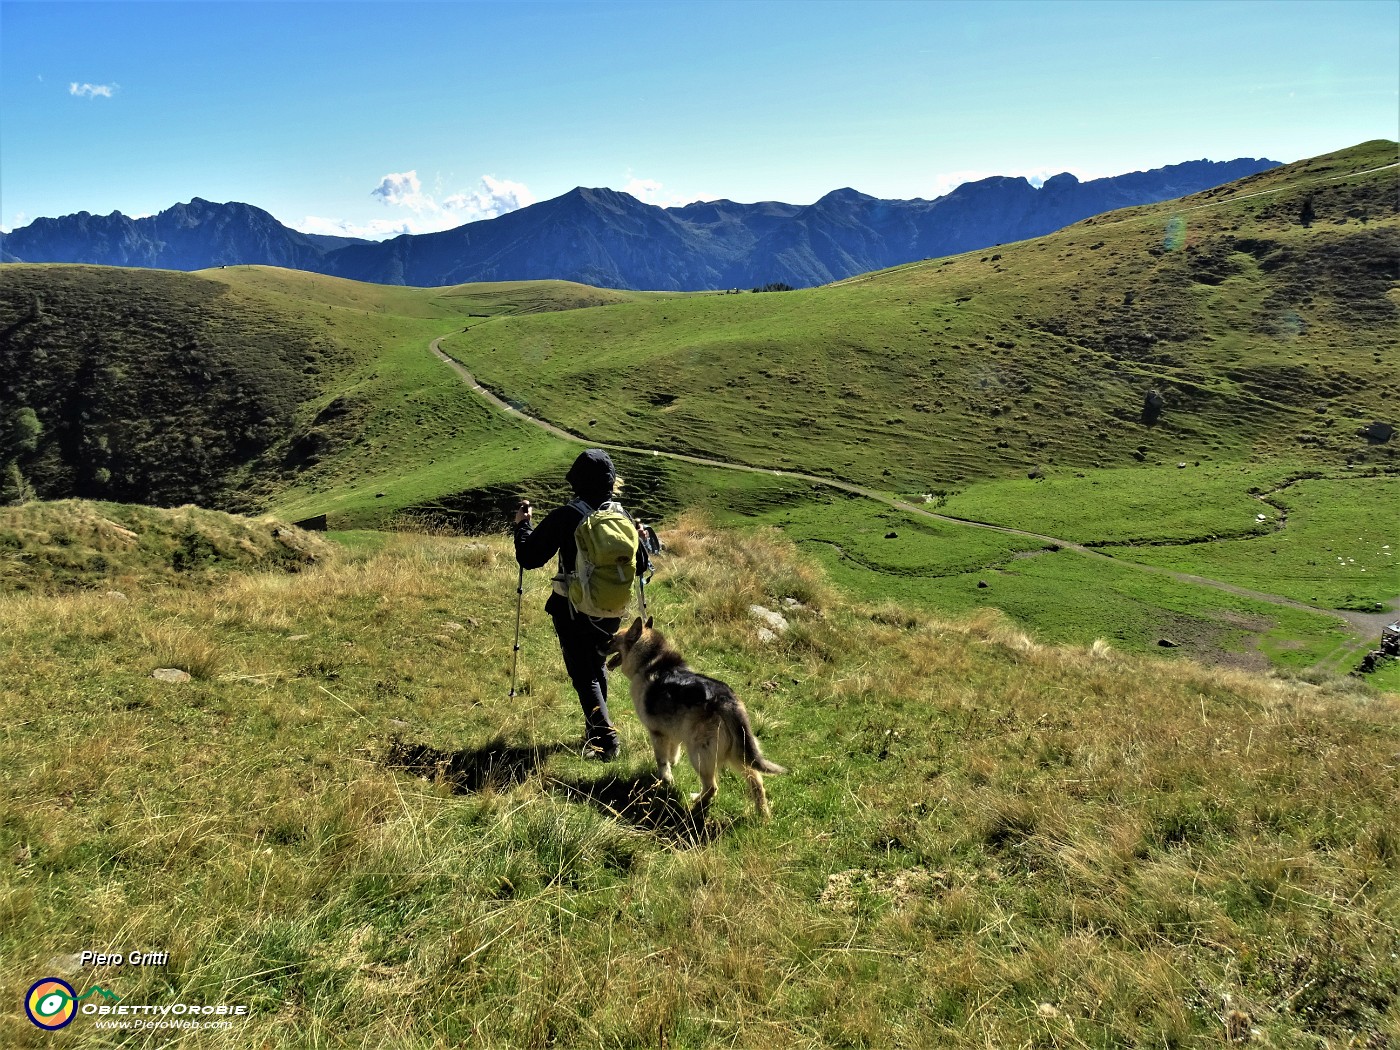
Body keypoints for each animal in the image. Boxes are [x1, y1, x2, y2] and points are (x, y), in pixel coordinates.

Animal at [607, 616, 789, 823]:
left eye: (613, 639)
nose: (599, 646)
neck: (650, 662)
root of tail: (726, 701)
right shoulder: (673, 733)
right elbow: (673, 754)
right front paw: (673, 766)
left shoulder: (657, 734)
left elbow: (662, 761)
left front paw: (666, 780)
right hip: (738, 754)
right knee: (757, 782)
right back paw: (763, 815)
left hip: (699, 754)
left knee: (712, 787)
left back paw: (694, 803)